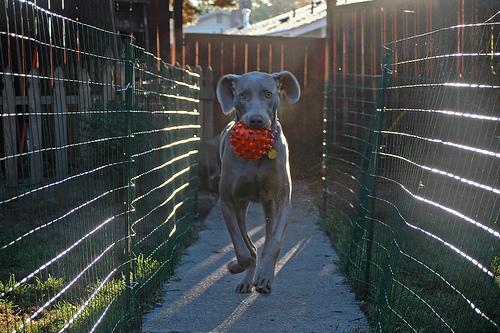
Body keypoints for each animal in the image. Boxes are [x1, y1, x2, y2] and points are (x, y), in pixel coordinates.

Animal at [216, 70, 300, 294]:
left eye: (268, 94)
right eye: (243, 95)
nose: (256, 120)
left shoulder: (283, 200)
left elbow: (274, 243)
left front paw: (264, 277)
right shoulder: (227, 202)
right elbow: (243, 250)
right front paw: (235, 266)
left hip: (269, 204)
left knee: (268, 238)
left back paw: (263, 277)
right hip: (241, 207)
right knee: (250, 245)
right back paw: (246, 278)